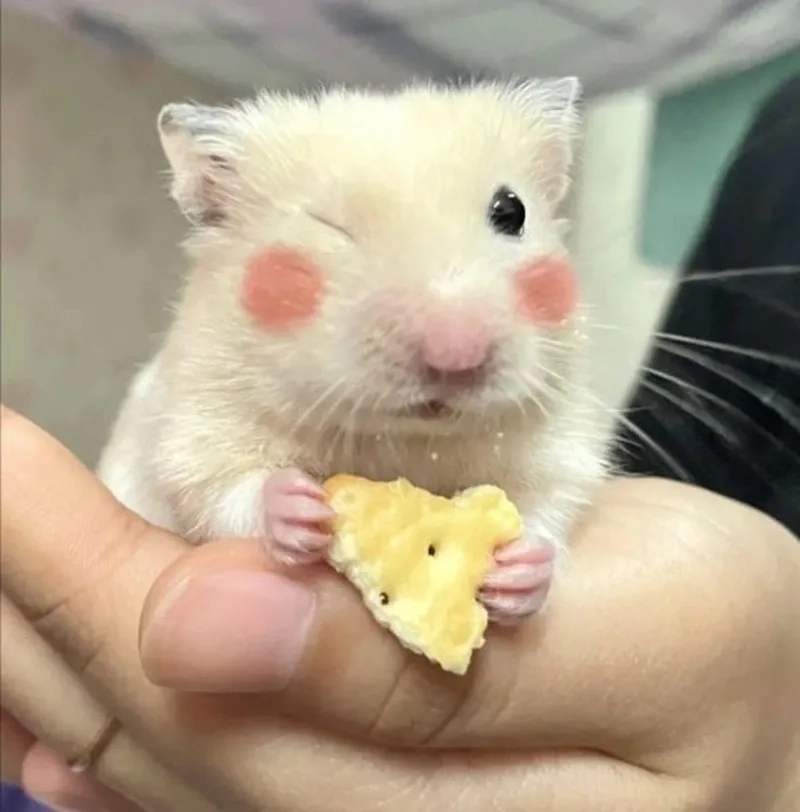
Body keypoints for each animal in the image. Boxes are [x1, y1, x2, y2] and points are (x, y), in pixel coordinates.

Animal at [97, 79, 611, 626]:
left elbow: (548, 508)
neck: (405, 440)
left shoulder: (561, 446)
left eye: (511, 211)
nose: (456, 354)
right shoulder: (191, 434)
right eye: (329, 224)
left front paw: (520, 572)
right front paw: (301, 508)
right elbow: (224, 491)